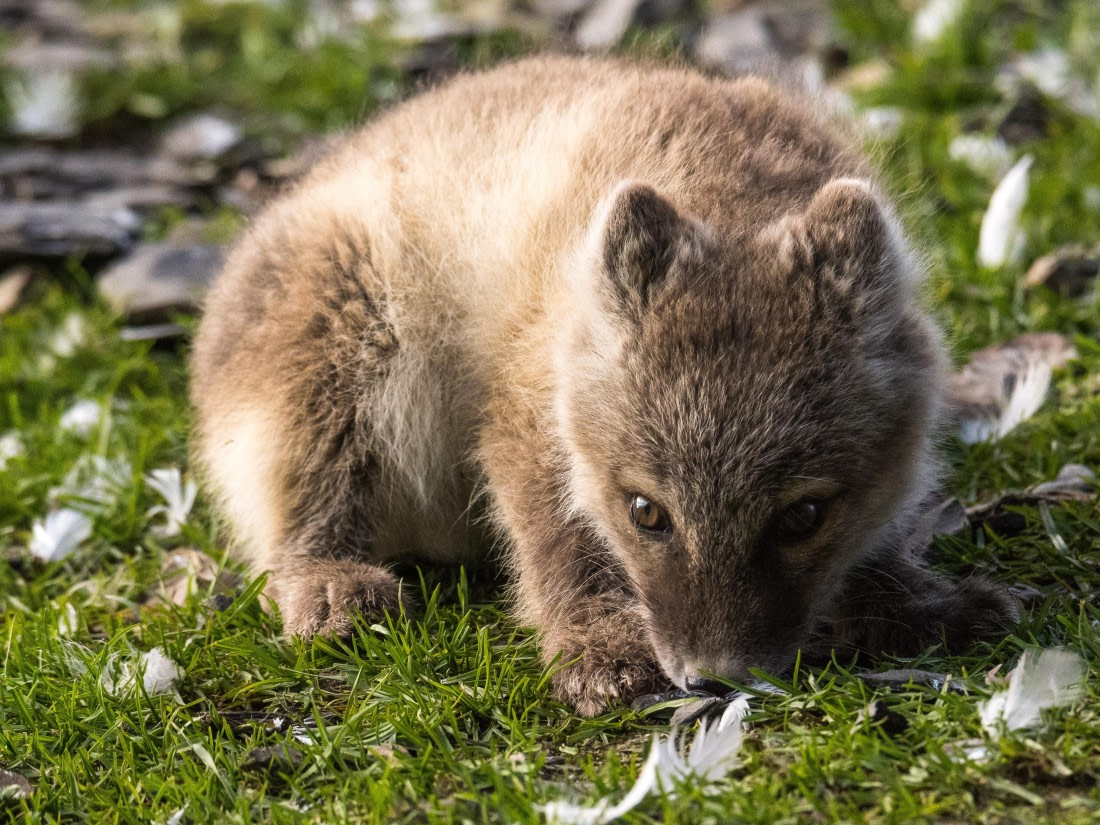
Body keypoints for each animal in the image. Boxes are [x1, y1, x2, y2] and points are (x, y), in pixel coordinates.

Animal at [190, 56, 1019, 716]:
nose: (714, 676)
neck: (725, 193)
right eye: (645, 512)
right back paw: (331, 585)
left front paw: (916, 599)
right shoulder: (528, 413)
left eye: (804, 516)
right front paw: (605, 649)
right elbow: (554, 534)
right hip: (336, 336)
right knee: (301, 499)